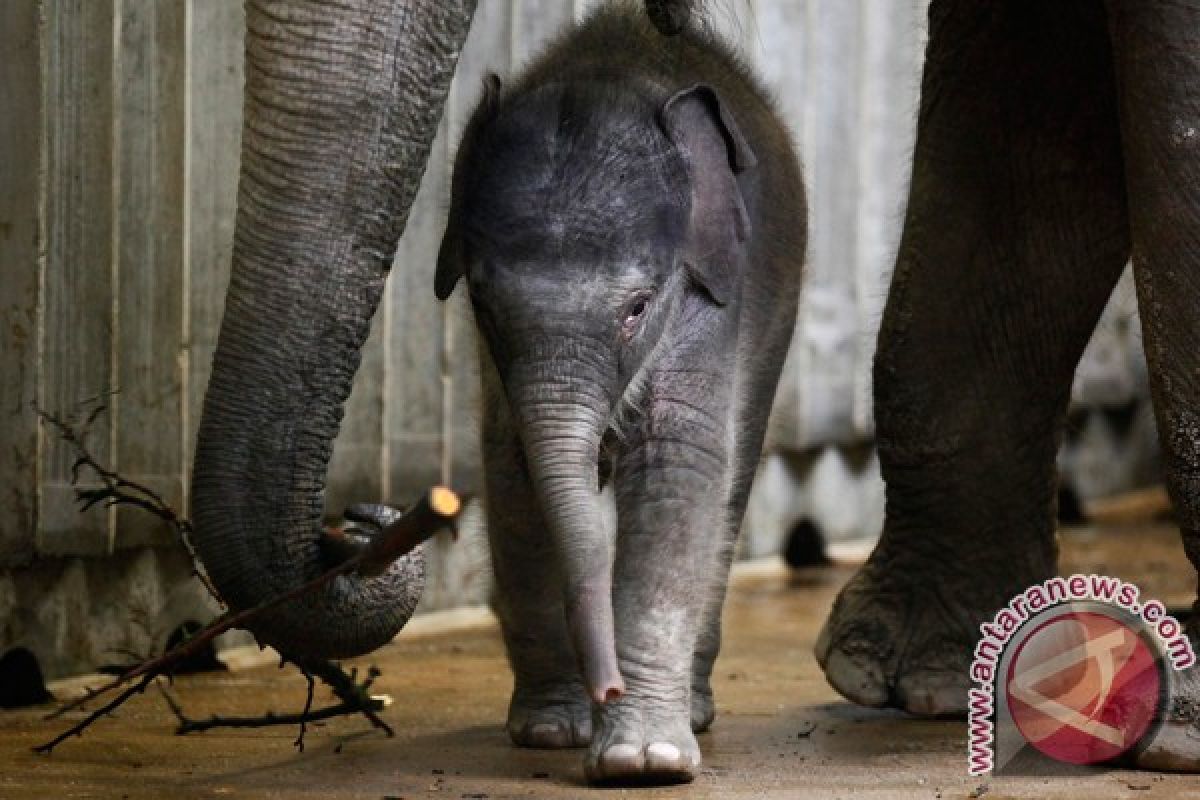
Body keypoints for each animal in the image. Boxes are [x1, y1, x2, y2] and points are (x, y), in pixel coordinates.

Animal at [434, 0, 806, 786]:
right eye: (482, 303)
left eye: (636, 308)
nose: (606, 687)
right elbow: (515, 472)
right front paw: (552, 731)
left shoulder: (711, 291)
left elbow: (678, 467)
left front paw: (645, 762)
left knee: (731, 484)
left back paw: (693, 710)